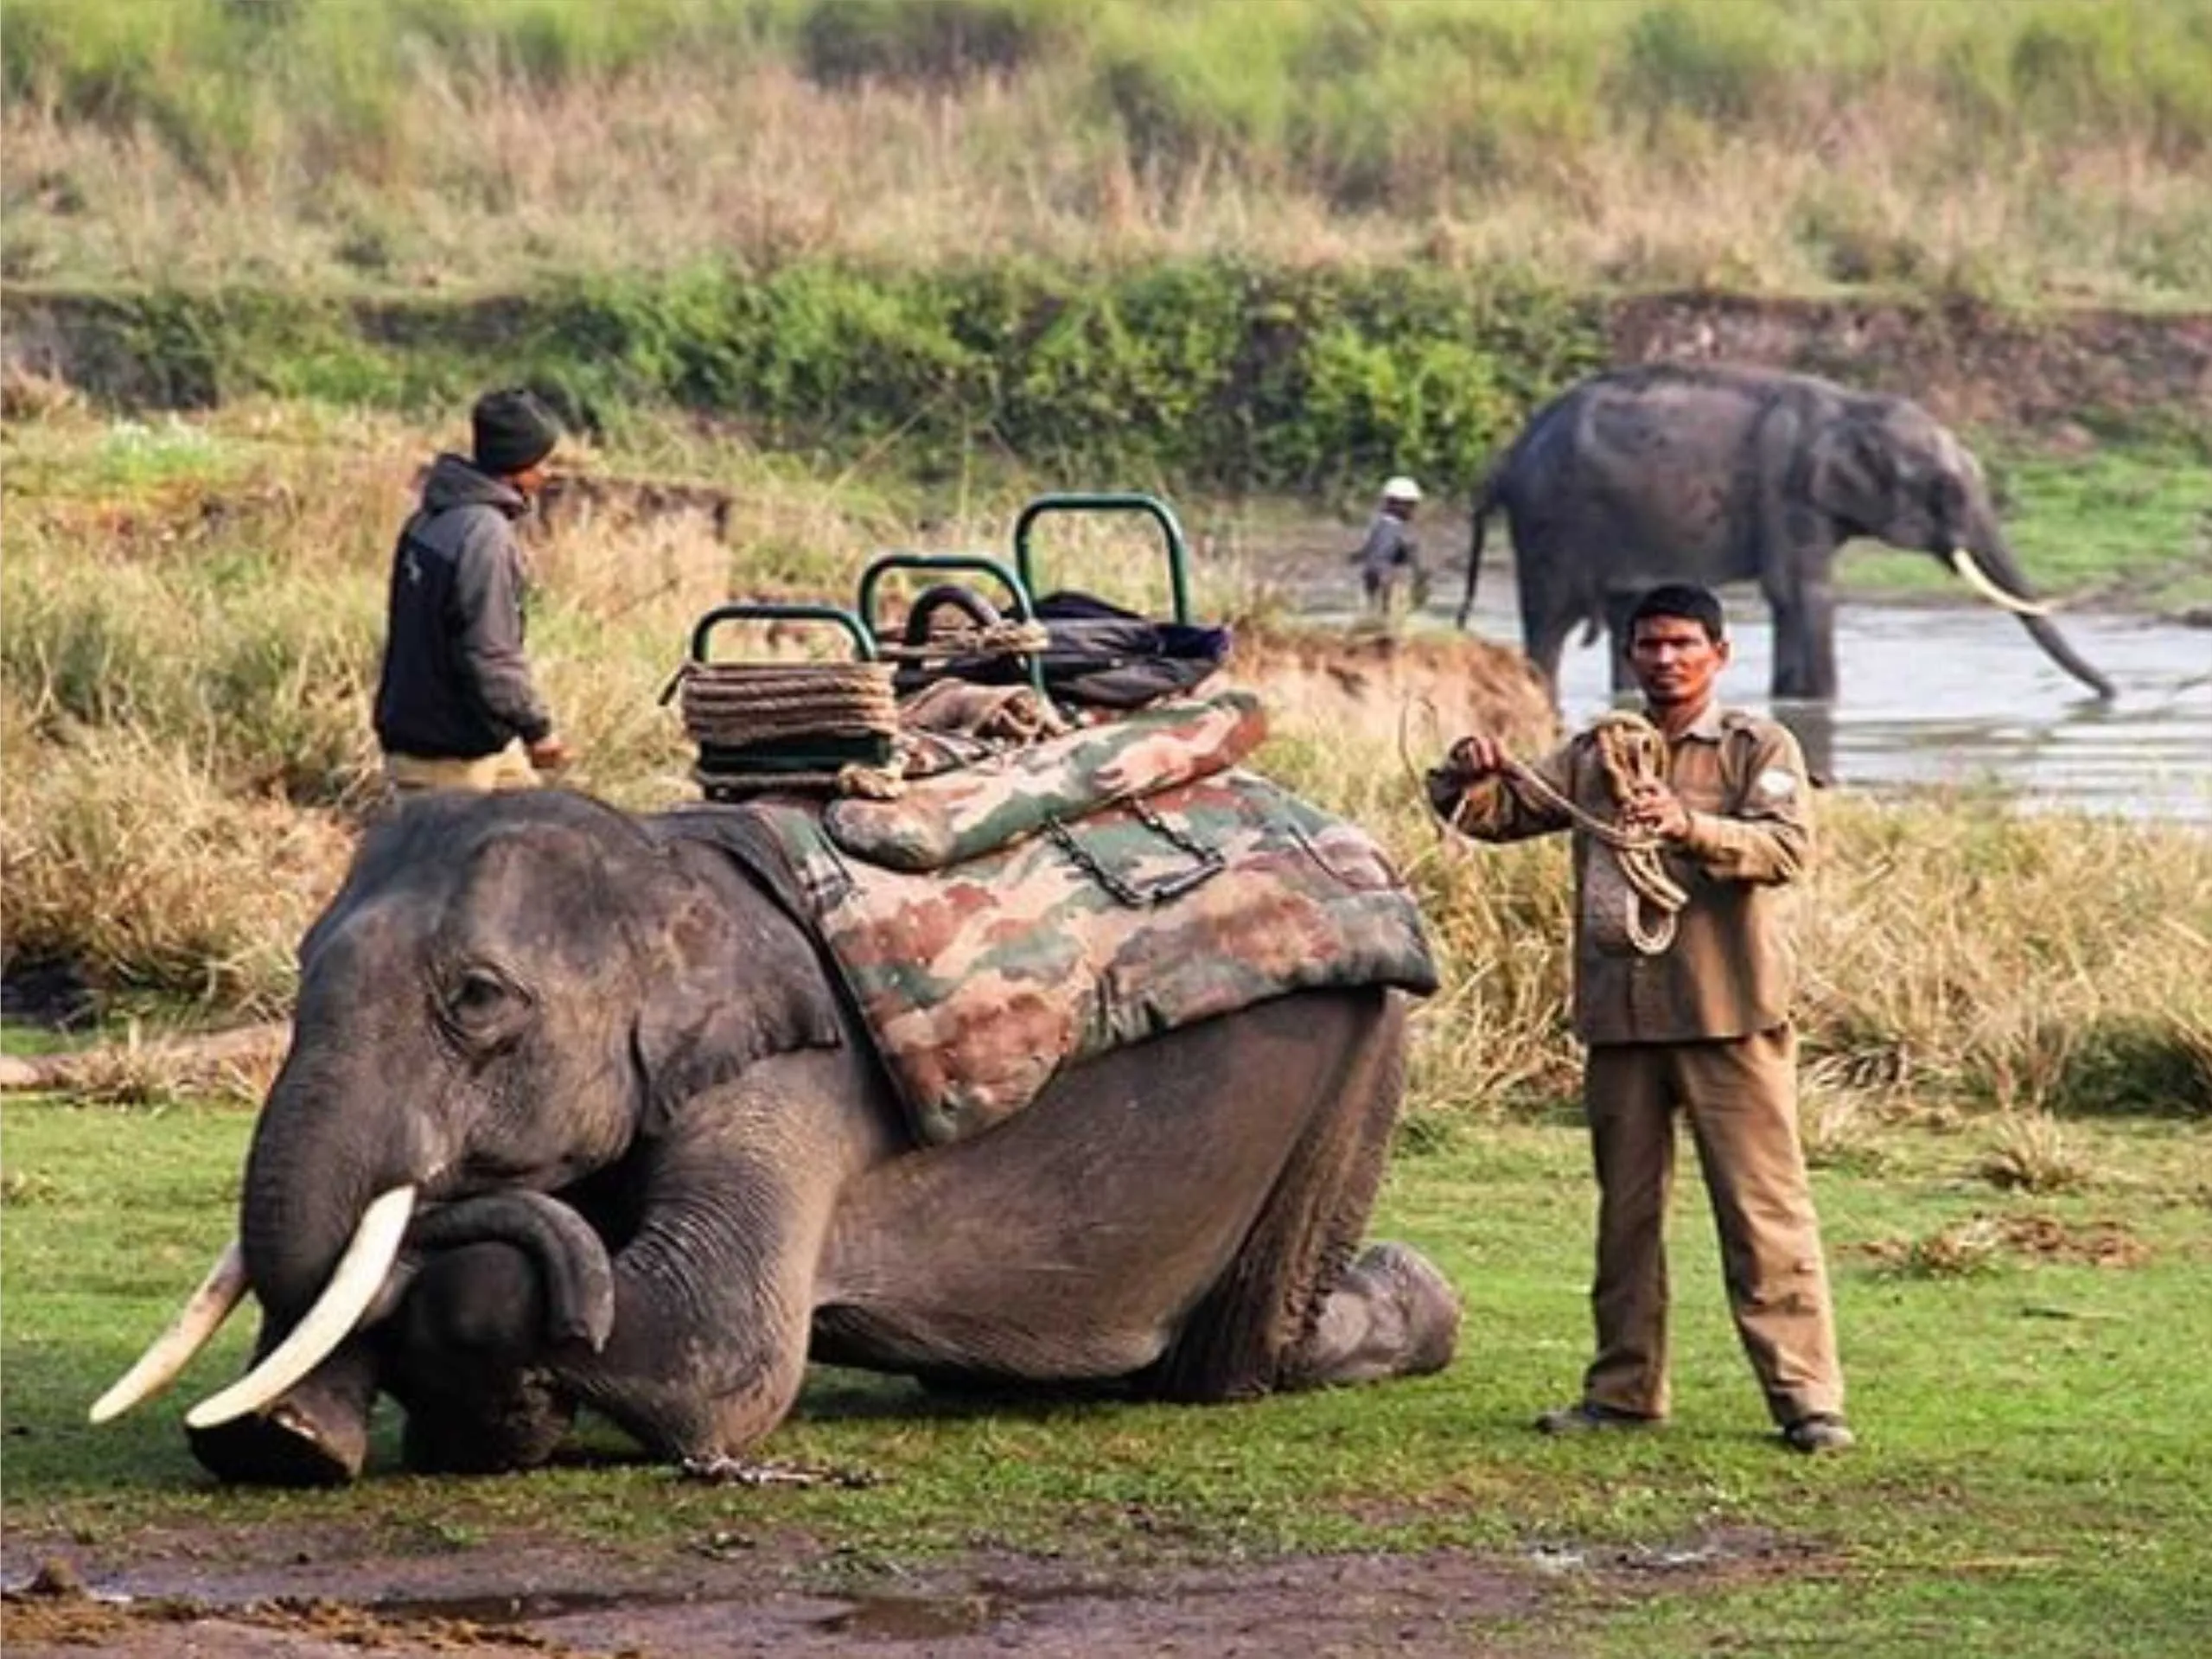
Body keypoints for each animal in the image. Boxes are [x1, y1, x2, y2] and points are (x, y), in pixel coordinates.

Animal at [1459, 361, 2114, 703]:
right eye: (1945, 489)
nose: (2111, 693)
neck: (1852, 407)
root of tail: (1506, 457)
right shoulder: (1788, 492)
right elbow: (1804, 592)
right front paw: (1817, 704)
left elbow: (1788, 598)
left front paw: (1788, 702)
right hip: (1550, 523)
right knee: (1550, 622)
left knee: (1624, 616)